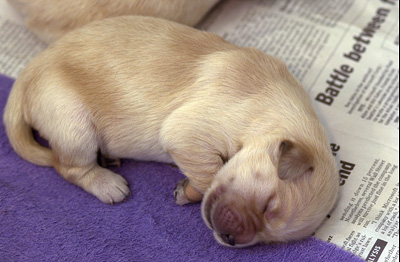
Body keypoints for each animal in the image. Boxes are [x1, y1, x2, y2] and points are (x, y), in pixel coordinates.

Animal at [4, 16, 340, 248]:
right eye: (269, 204)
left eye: (269, 239)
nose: (232, 240)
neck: (274, 113)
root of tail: (26, 75)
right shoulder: (189, 132)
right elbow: (209, 175)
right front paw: (193, 189)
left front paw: (186, 190)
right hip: (73, 124)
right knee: (68, 167)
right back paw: (107, 182)